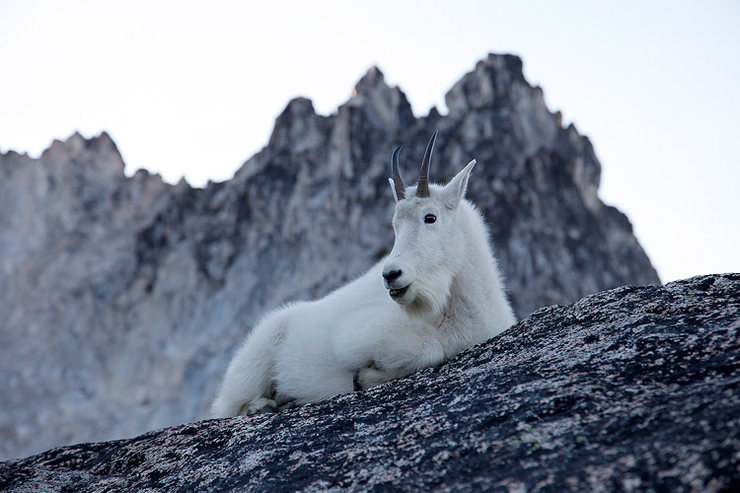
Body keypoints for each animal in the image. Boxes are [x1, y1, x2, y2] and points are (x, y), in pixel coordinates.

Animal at [211, 132, 516, 416]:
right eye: (394, 226)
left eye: (430, 217)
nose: (391, 275)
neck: (460, 310)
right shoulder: (354, 337)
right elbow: (430, 349)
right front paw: (364, 378)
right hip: (254, 363)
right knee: (229, 406)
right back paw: (263, 405)